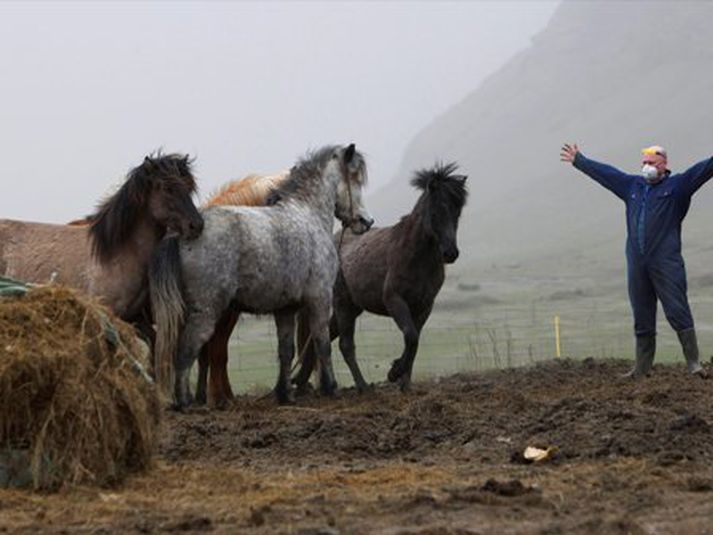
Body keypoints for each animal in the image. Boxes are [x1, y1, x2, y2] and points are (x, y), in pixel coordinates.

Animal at [149, 144, 372, 408]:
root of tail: (182, 234)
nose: (366, 221)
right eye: (355, 178)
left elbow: (286, 351)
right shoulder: (319, 299)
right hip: (206, 312)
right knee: (187, 351)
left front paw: (285, 393)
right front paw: (331, 388)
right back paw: (186, 402)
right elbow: (322, 342)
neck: (307, 214)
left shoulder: (286, 309)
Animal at [290, 163, 468, 394]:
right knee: (345, 345)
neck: (418, 257)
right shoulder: (394, 300)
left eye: (457, 212)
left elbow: (415, 342)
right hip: (343, 305)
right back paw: (362, 386)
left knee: (323, 337)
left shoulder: (424, 306)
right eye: (435, 211)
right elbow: (410, 336)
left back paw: (303, 383)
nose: (450, 253)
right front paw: (394, 372)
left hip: (351, 307)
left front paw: (405, 383)